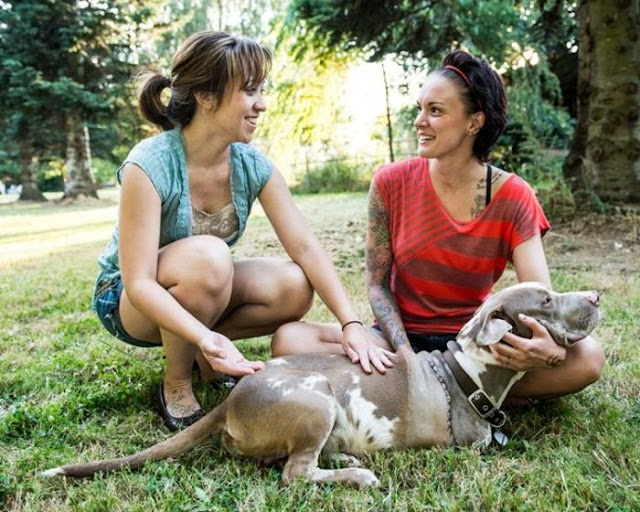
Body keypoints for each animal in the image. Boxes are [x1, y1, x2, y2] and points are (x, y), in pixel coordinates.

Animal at [45, 282, 600, 486]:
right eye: (545, 301)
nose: (595, 296)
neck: (466, 374)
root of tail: (230, 401)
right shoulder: (466, 450)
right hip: (317, 401)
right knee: (295, 474)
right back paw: (356, 475)